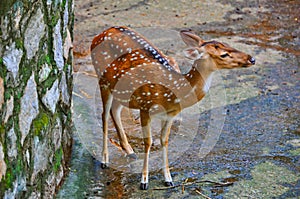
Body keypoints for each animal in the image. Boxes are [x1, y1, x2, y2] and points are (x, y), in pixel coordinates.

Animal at [91, 26, 255, 190]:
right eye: (224, 54)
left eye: (227, 44)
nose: (251, 59)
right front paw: (144, 181)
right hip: (103, 79)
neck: (172, 93)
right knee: (104, 114)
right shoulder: (145, 106)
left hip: (121, 91)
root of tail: (100, 34)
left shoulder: (170, 114)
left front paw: (168, 179)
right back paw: (104, 160)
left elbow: (164, 140)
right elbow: (148, 141)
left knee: (114, 110)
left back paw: (130, 151)